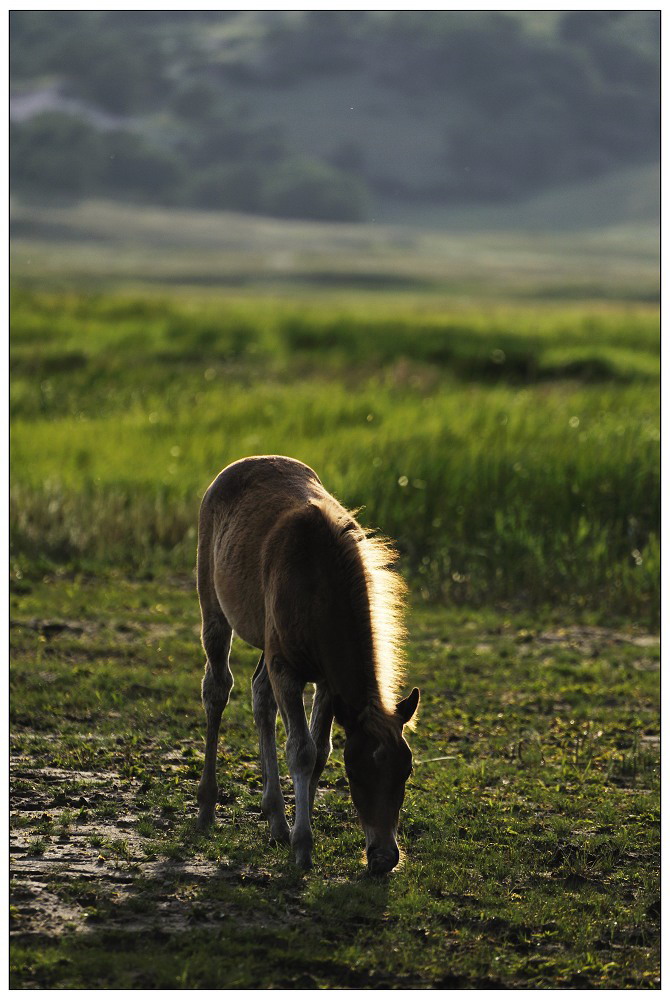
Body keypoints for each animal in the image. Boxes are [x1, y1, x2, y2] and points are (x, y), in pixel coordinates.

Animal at [195, 455, 419, 873]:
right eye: (356, 772)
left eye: (406, 770)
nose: (384, 858)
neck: (319, 584)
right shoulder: (288, 670)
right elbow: (301, 750)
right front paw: (302, 846)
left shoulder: (328, 682)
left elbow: (319, 751)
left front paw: (299, 826)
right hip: (214, 610)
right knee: (217, 690)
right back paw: (206, 807)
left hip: (267, 643)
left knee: (260, 696)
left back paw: (275, 818)